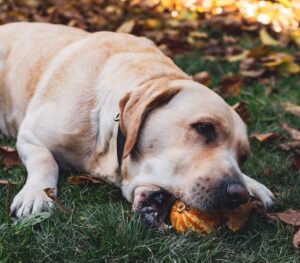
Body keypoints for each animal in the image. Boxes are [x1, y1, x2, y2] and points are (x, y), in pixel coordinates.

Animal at [0, 23, 274, 221]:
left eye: (243, 157)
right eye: (204, 128)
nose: (238, 194)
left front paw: (253, 184)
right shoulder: (30, 135)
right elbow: (45, 160)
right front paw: (36, 193)